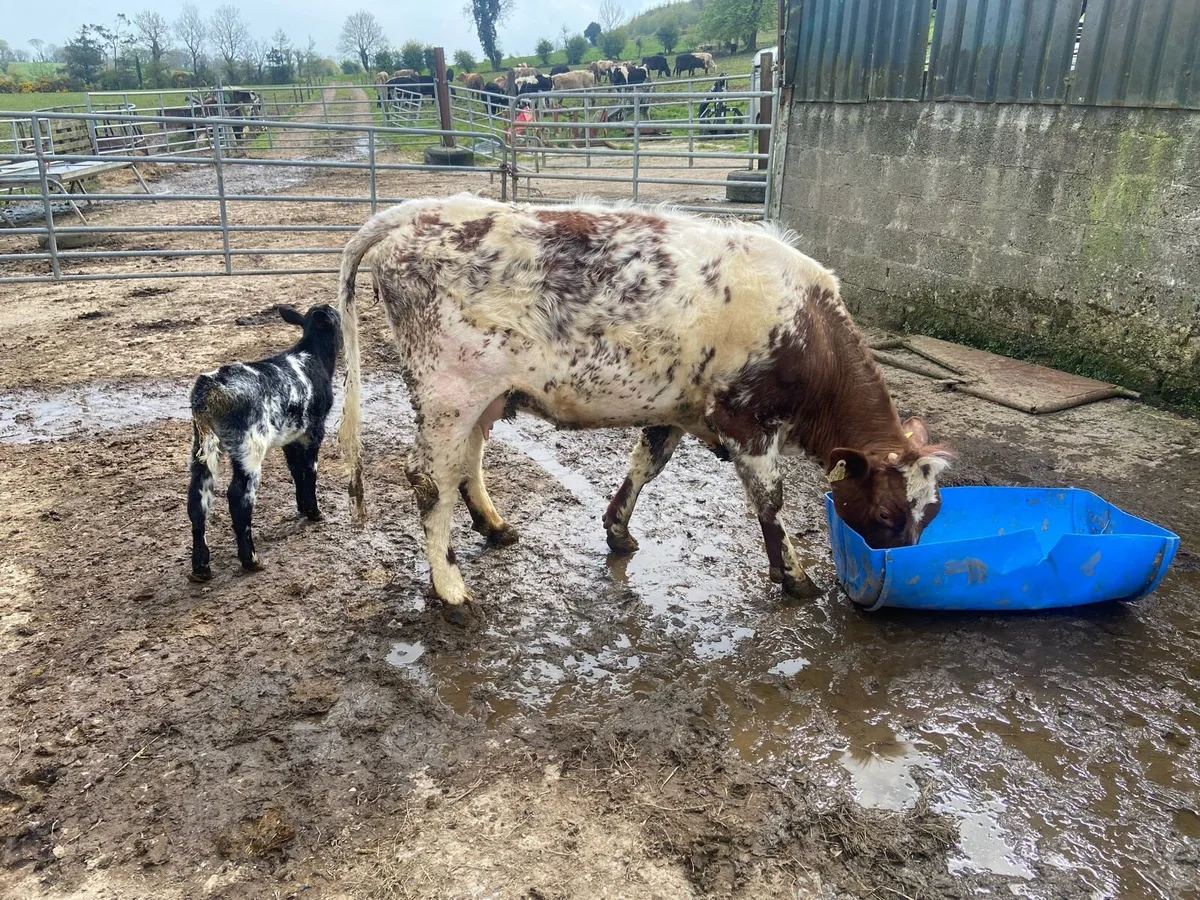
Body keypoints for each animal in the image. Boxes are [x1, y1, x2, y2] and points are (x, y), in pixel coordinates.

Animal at [187, 304, 340, 582]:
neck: (311, 356)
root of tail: (210, 388)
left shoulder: (291, 436)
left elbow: (296, 471)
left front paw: (302, 507)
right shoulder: (314, 431)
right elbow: (310, 471)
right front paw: (314, 512)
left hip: (201, 446)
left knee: (197, 497)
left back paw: (201, 567)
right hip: (249, 446)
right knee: (239, 497)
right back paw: (250, 559)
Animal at [334, 195, 952, 620]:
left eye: (932, 514)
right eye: (886, 516)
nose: (899, 575)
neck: (805, 326)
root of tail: (421, 210)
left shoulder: (674, 409)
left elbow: (644, 466)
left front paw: (617, 530)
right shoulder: (746, 421)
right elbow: (769, 502)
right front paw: (794, 576)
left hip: (483, 397)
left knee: (467, 464)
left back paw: (495, 526)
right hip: (447, 391)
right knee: (429, 480)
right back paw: (451, 589)